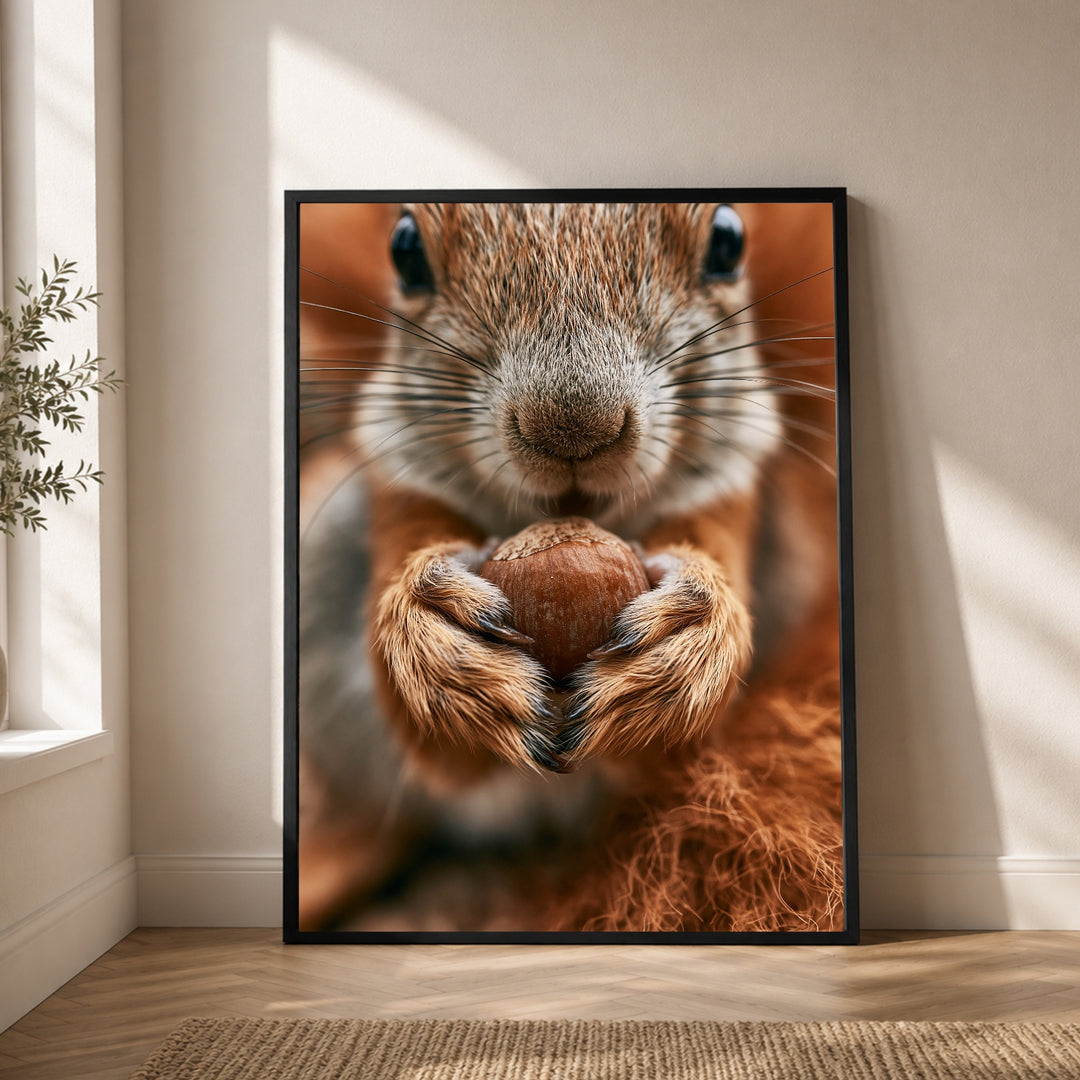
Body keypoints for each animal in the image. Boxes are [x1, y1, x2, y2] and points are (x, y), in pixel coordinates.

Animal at [297, 199, 846, 933]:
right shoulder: (399, 486)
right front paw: (441, 644)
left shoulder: (734, 494)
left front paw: (687, 642)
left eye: (728, 242)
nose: (572, 429)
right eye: (405, 250)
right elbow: (429, 733)